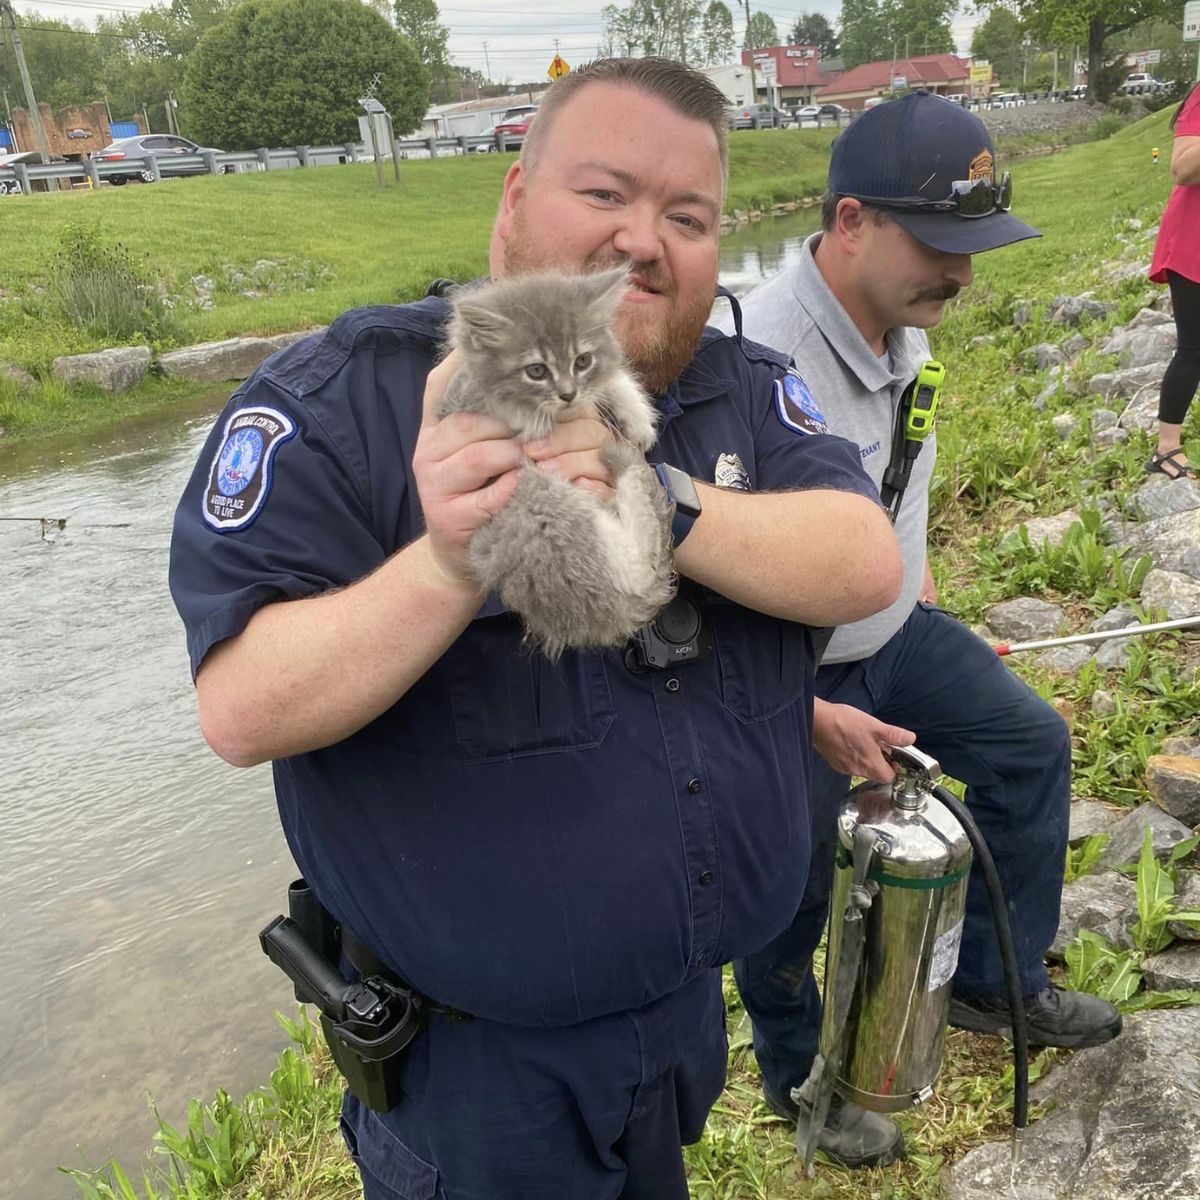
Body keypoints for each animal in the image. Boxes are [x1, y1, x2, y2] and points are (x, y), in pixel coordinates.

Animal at [441, 268, 681, 662]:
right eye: (537, 370)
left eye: (582, 361)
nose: (567, 394)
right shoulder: (467, 400)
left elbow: (611, 380)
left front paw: (637, 417)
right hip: (543, 504)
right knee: (634, 572)